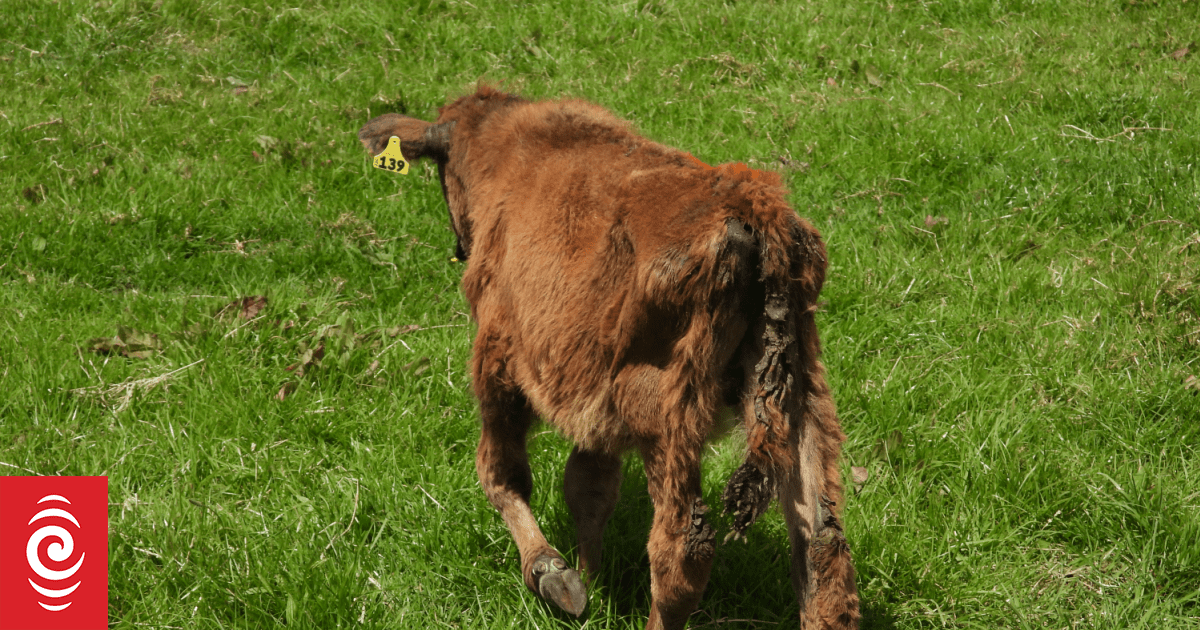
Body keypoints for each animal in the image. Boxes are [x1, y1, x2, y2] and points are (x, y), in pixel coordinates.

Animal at [358, 86, 859, 630]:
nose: (459, 243)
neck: (502, 148)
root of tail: (757, 210)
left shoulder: (499, 363)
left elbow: (502, 475)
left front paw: (554, 575)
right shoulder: (594, 403)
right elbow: (589, 487)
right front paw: (589, 581)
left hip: (666, 418)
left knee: (683, 549)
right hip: (800, 399)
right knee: (823, 546)